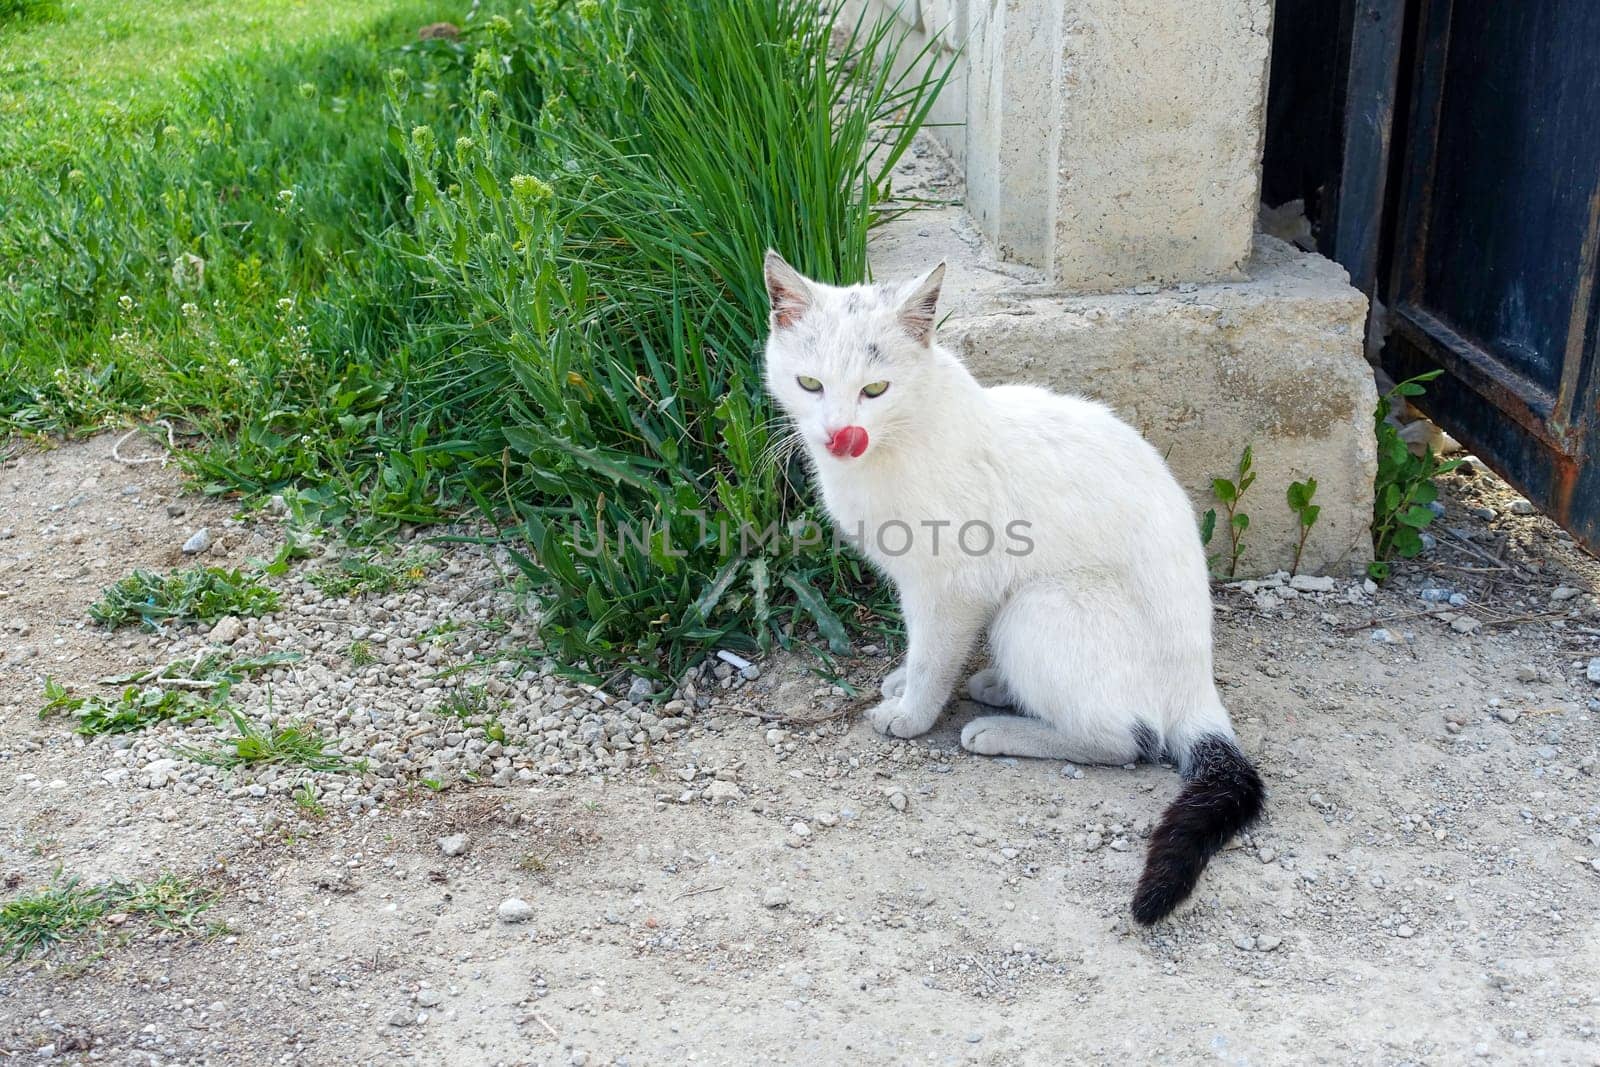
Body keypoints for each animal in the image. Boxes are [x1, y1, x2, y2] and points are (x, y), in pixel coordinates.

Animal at [768, 252, 1267, 927]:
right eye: (810, 384)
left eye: (875, 390)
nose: (839, 434)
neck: (903, 437)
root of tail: (1199, 687)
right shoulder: (922, 582)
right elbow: (919, 646)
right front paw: (902, 682)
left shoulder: (951, 583)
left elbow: (933, 655)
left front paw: (912, 713)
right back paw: (998, 688)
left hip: (1038, 606)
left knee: (1126, 739)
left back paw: (1000, 730)